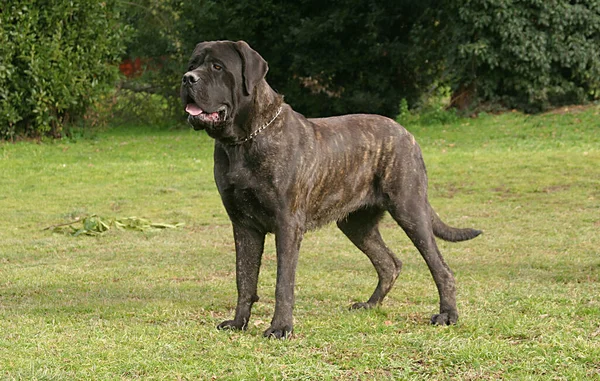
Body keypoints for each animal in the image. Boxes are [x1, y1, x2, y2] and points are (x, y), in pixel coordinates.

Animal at [179, 40, 482, 336]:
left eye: (217, 66)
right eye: (192, 64)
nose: (187, 78)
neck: (244, 141)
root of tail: (408, 135)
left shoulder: (287, 224)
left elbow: (283, 282)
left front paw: (280, 327)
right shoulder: (243, 225)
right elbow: (244, 278)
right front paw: (238, 323)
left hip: (410, 210)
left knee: (441, 268)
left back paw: (448, 315)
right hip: (356, 224)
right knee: (389, 263)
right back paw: (370, 305)